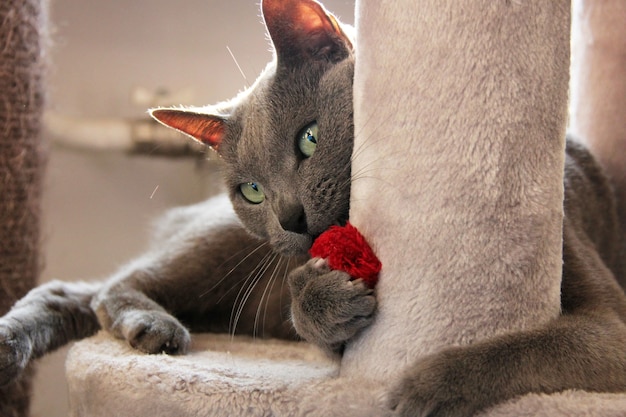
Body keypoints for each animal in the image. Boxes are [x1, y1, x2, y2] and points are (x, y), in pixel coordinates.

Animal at [1, 0, 624, 416]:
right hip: (223, 250)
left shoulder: (608, 314)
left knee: (83, 290)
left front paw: (424, 387)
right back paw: (148, 328)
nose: (291, 218)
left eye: (309, 139)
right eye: (252, 190)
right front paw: (320, 301)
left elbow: (531, 343)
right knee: (103, 286)